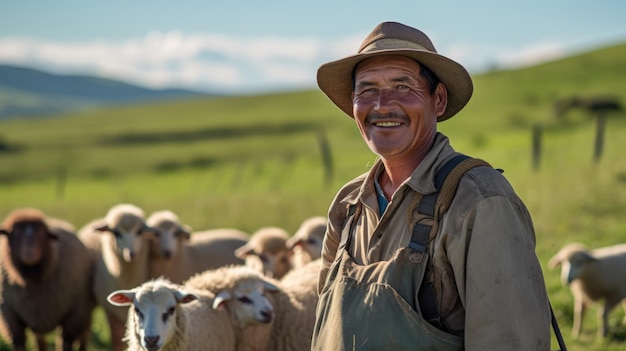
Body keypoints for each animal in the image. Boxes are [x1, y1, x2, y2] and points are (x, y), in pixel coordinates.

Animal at [0, 209, 95, 351]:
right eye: (14, 232)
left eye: (42, 233)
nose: (30, 252)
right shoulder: (9, 315)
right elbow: (19, 344)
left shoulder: (73, 314)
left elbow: (66, 344)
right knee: (39, 339)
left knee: (83, 335)